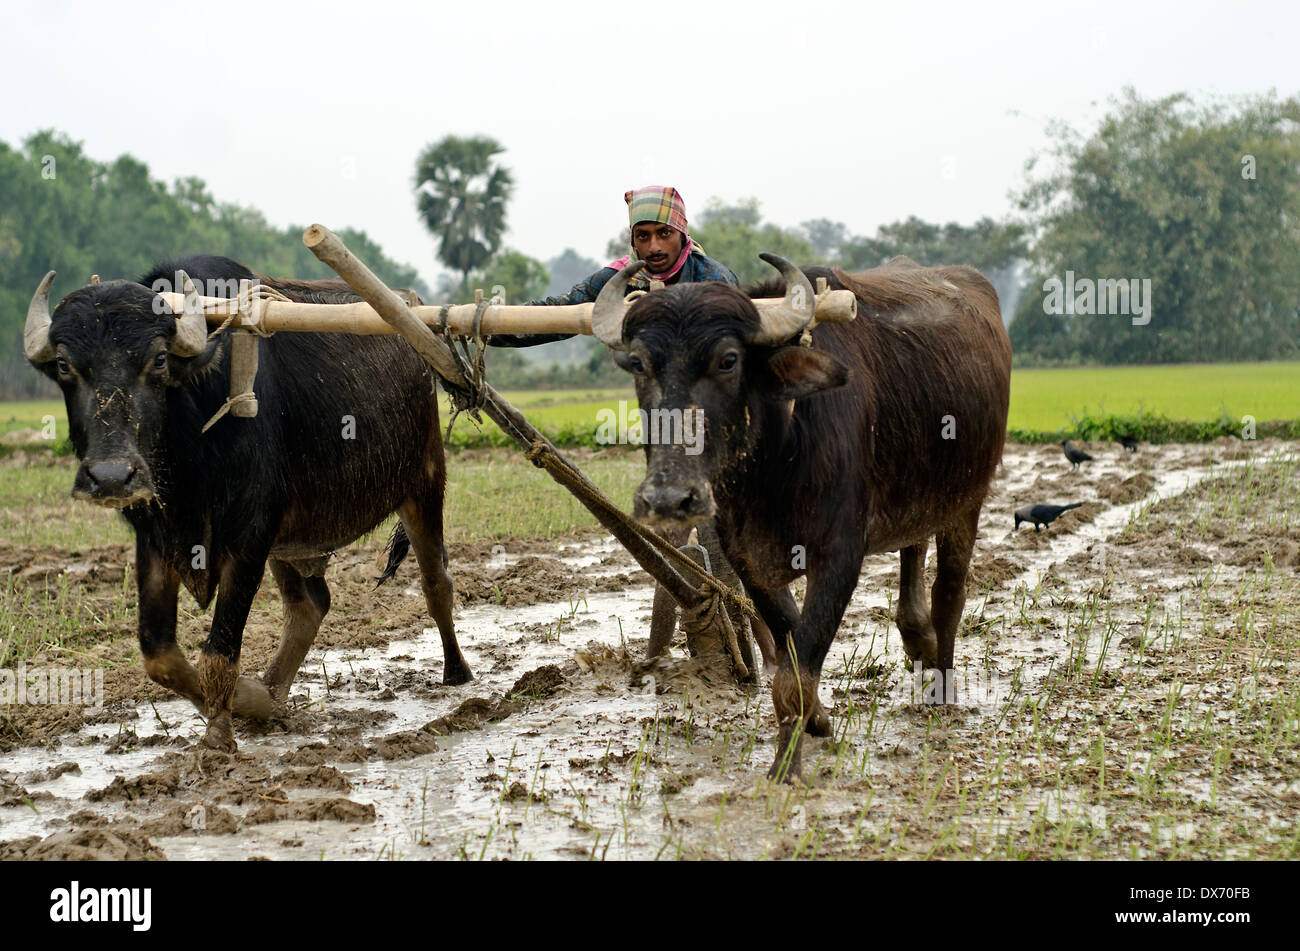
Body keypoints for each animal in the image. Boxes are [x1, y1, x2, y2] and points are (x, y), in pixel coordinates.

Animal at [25, 255, 470, 753]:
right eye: (65, 365)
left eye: (157, 359)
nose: (111, 477)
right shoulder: (156, 540)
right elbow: (159, 654)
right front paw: (246, 702)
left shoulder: (249, 538)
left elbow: (218, 652)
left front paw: (220, 737)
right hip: (292, 538)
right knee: (309, 607)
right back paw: (271, 694)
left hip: (423, 483)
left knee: (436, 583)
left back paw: (457, 673)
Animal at [598, 254, 1013, 779]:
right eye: (639, 364)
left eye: (728, 360)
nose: (668, 498)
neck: (773, 466)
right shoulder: (747, 560)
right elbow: (790, 641)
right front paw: (814, 720)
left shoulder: (839, 555)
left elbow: (797, 669)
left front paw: (786, 764)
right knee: (913, 556)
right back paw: (919, 642)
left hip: (968, 498)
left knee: (950, 593)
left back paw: (942, 687)